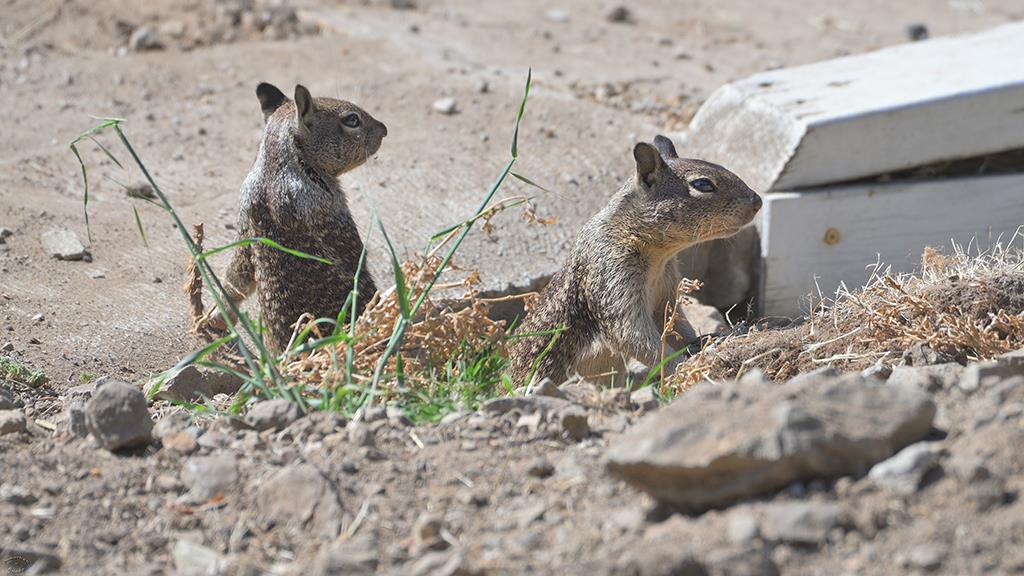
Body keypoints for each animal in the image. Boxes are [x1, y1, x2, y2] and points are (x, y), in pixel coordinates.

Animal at [209, 80, 385, 350]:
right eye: (352, 120)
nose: (384, 130)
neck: (274, 167)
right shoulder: (334, 214)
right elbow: (356, 255)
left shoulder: (245, 220)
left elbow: (237, 274)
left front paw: (217, 317)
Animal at [509, 134, 761, 383]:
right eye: (702, 184)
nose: (757, 201)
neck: (657, 257)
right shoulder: (613, 282)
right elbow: (636, 338)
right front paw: (682, 368)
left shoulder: (666, 293)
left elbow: (676, 325)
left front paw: (703, 343)